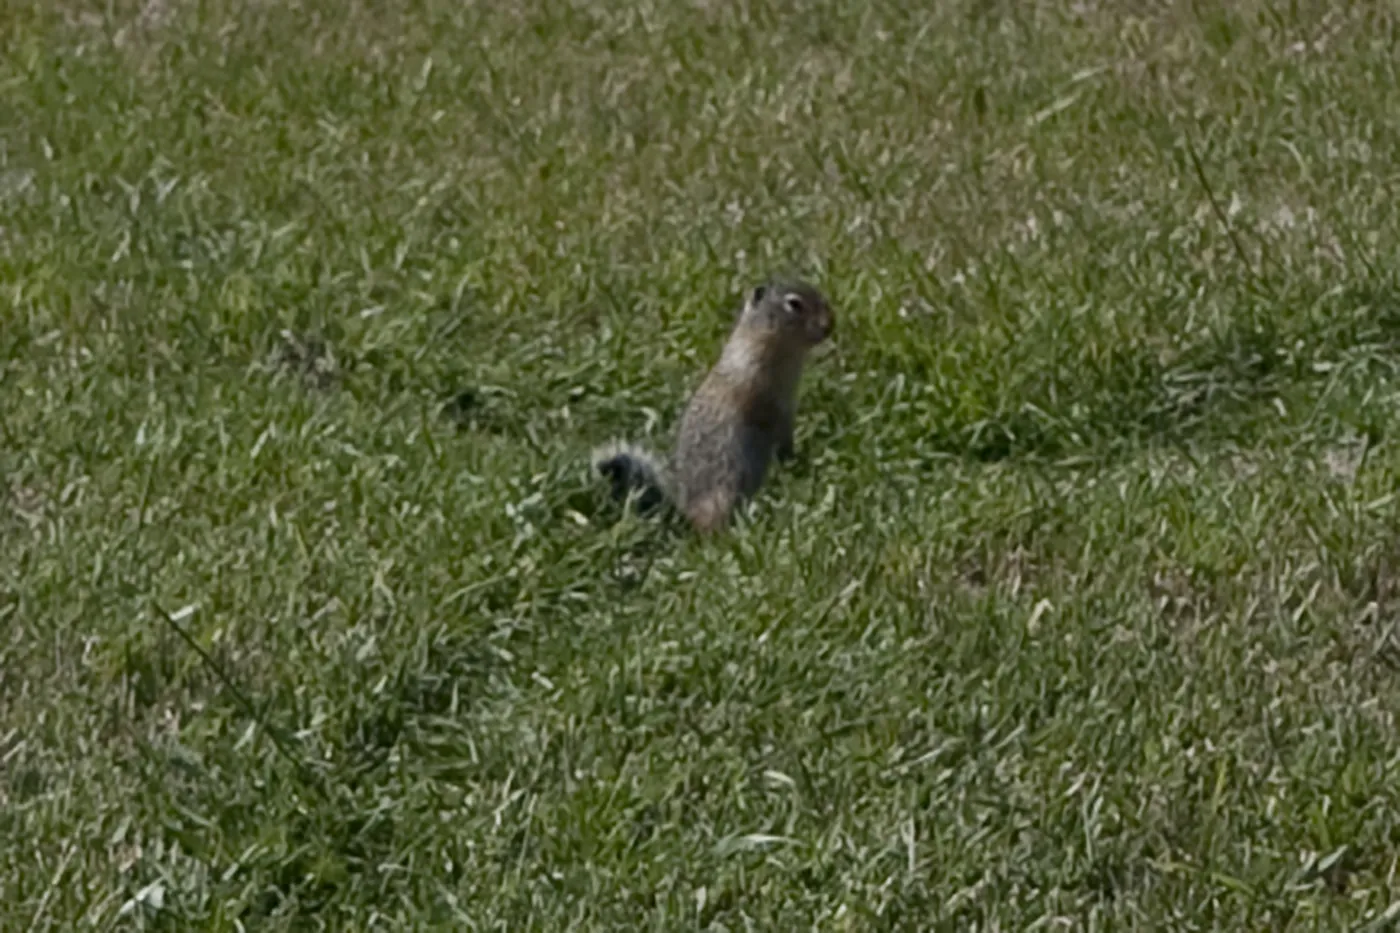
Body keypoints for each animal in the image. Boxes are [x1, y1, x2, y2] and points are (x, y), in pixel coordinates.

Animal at [590, 277, 828, 529]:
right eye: (794, 304)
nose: (829, 325)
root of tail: (684, 512)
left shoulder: (788, 406)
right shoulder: (760, 395)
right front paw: (792, 461)